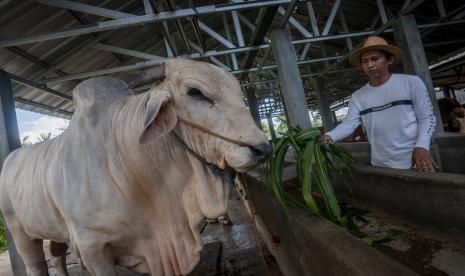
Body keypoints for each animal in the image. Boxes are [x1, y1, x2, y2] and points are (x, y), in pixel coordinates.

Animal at [0, 58, 270, 276]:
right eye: (195, 92)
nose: (262, 149)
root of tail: (10, 158)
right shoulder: (92, 249)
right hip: (20, 233)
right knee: (37, 265)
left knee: (57, 258)